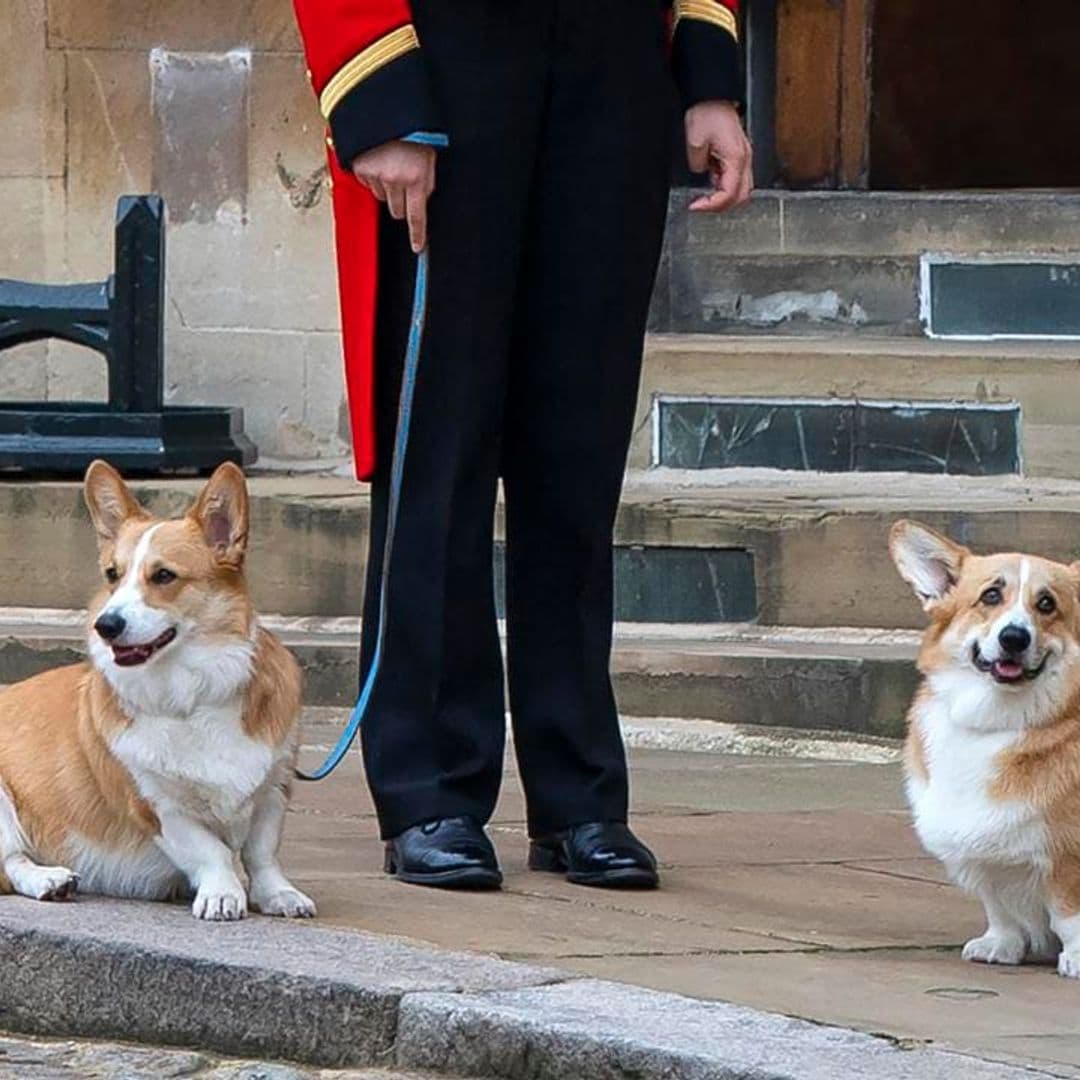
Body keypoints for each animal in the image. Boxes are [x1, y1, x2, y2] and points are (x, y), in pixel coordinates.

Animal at [0, 460, 315, 924]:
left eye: (164, 576)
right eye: (112, 575)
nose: (106, 625)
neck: (190, 693)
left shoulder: (273, 790)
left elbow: (262, 853)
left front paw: (279, 894)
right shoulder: (159, 806)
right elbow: (210, 851)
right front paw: (222, 894)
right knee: (11, 860)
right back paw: (49, 880)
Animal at [889, 520, 1080, 980]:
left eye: (1046, 603)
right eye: (991, 596)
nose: (1014, 637)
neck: (996, 722)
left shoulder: (1067, 858)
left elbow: (1069, 914)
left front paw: (1077, 957)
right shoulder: (984, 855)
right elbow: (1000, 906)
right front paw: (1001, 944)